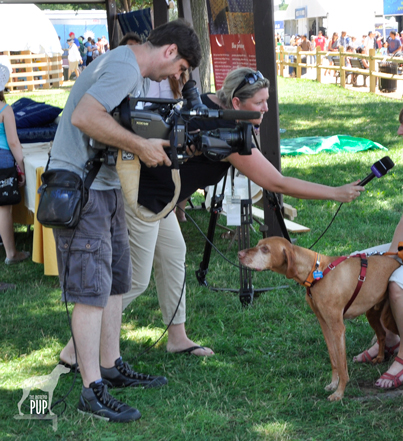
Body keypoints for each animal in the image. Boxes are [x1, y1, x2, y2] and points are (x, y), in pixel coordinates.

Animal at [240, 237, 400, 402]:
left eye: (265, 249)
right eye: (258, 244)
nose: (239, 254)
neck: (317, 272)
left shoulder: (337, 328)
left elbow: (342, 364)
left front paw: (339, 392)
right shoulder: (324, 324)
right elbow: (334, 358)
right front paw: (333, 384)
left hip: (387, 317)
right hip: (373, 314)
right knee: (382, 334)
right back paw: (379, 357)